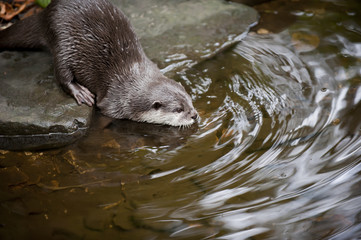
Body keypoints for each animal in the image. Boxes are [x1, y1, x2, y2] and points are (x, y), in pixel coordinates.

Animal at [0, 0, 197, 127]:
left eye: (190, 101)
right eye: (179, 109)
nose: (194, 115)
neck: (135, 80)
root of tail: (45, 14)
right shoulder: (114, 102)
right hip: (62, 43)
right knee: (62, 75)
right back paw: (81, 92)